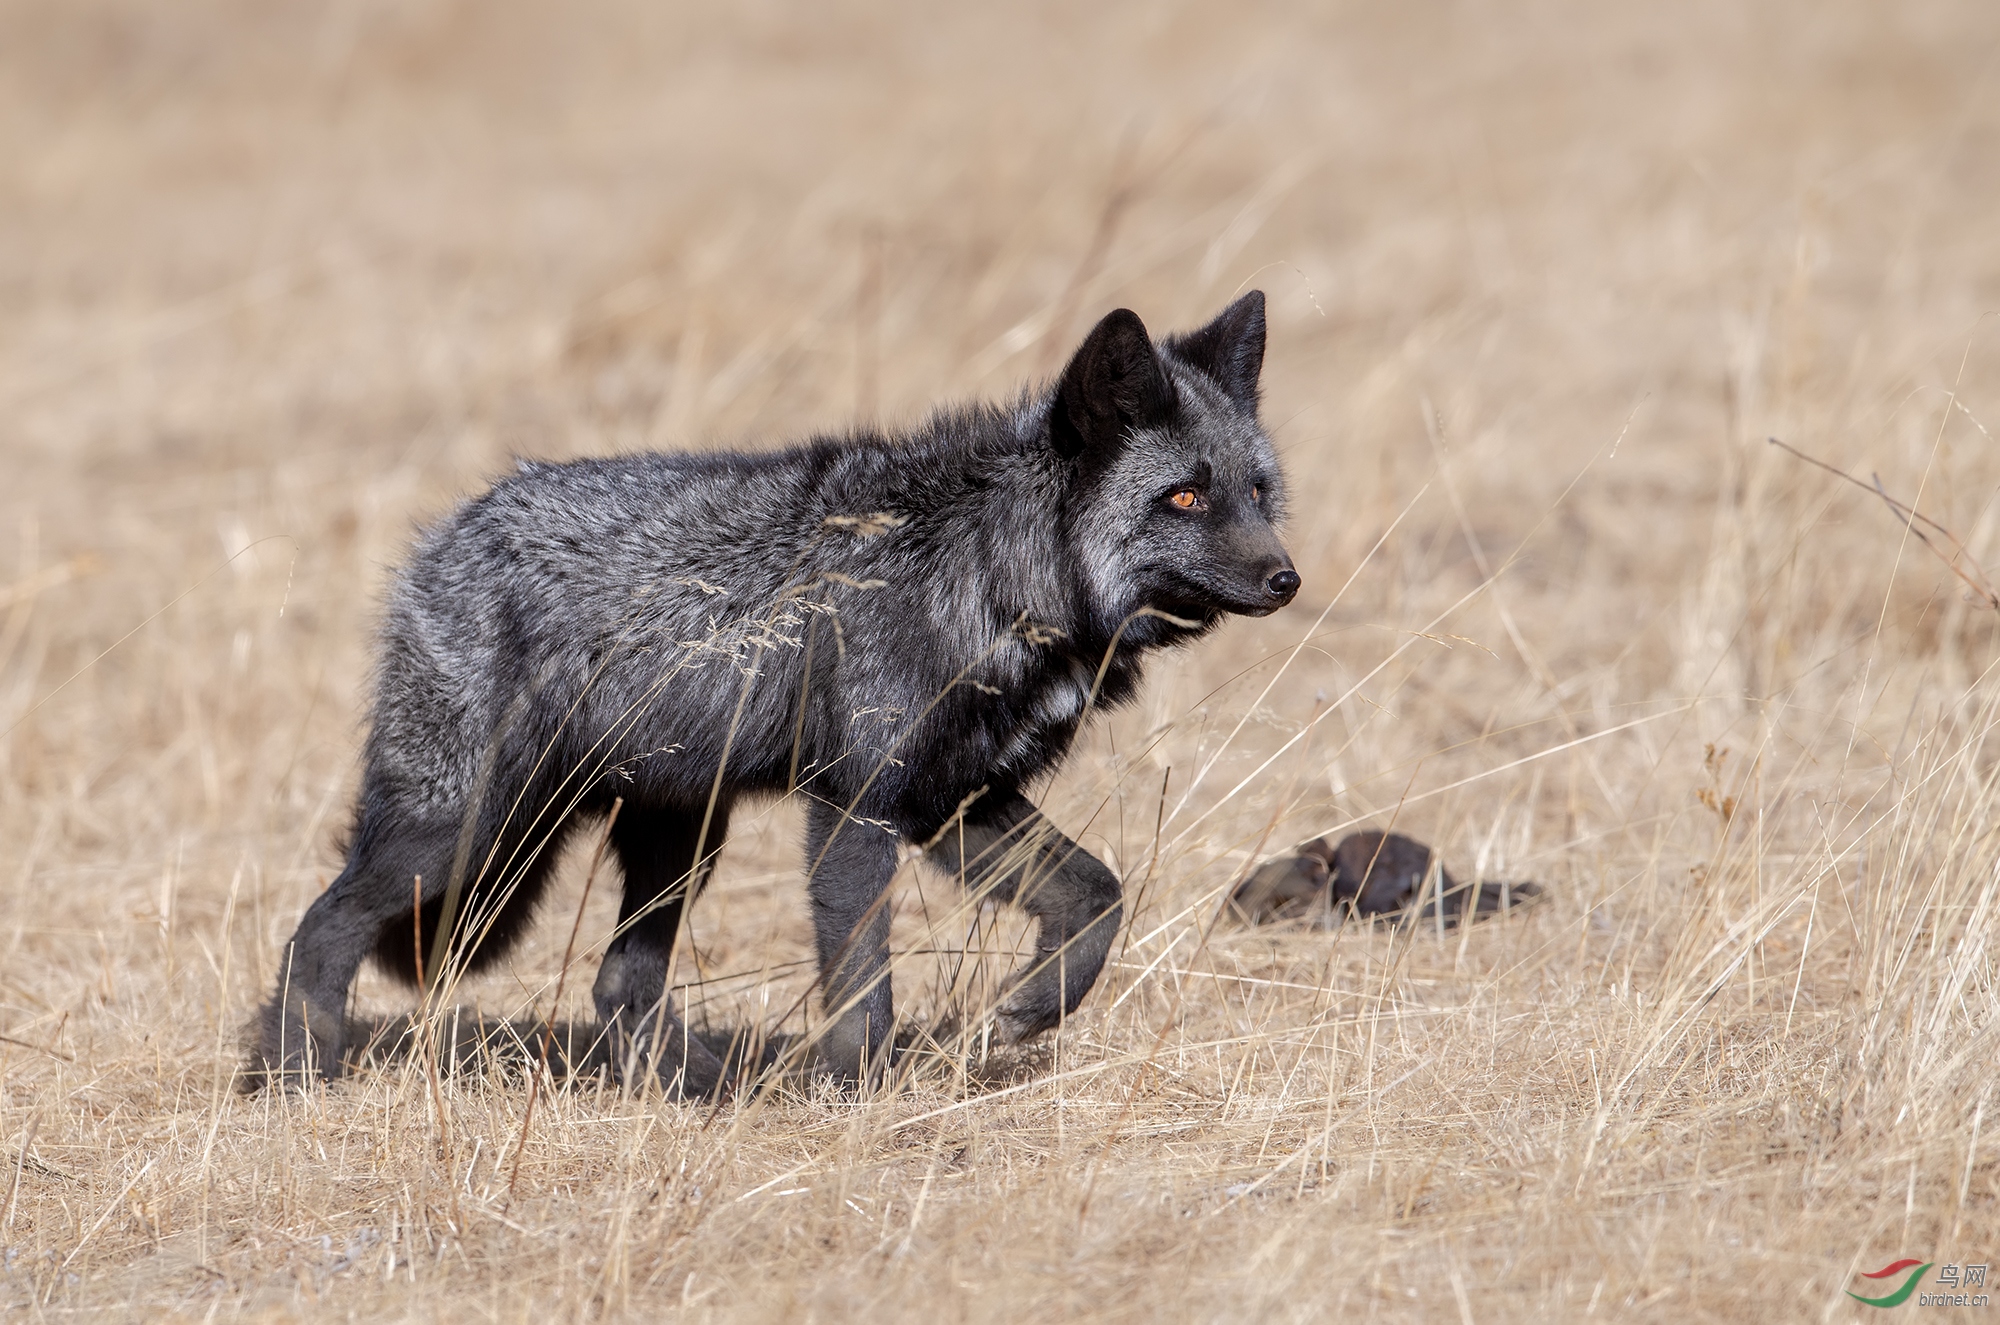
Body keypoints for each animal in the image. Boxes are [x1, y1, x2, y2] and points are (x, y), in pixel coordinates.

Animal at [250, 296, 1304, 1096]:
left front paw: (1032, 1009)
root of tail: (448, 531)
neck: (991, 578)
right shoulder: (855, 812)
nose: (1288, 578)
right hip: (461, 831)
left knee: (619, 986)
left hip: (679, 840)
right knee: (318, 928)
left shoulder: (954, 800)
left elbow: (1095, 896)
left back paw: (698, 1093)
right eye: (1183, 498)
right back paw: (294, 1074)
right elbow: (864, 991)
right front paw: (858, 1102)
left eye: (1257, 493)